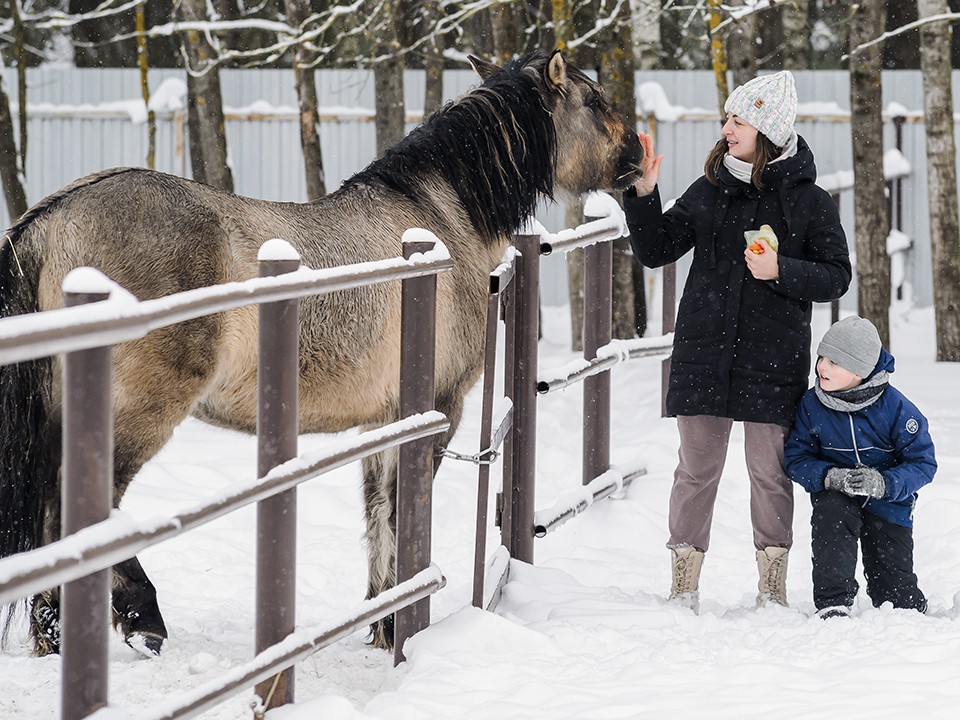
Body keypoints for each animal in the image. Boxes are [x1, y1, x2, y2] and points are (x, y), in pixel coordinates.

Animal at [1, 52, 644, 660]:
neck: (441, 222)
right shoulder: (438, 411)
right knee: (78, 517)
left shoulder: (383, 419)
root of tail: (48, 220)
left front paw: (380, 620)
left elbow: (376, 515)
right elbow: (399, 514)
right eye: (593, 99)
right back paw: (137, 619)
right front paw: (398, 626)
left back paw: (53, 636)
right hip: (135, 418)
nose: (638, 154)